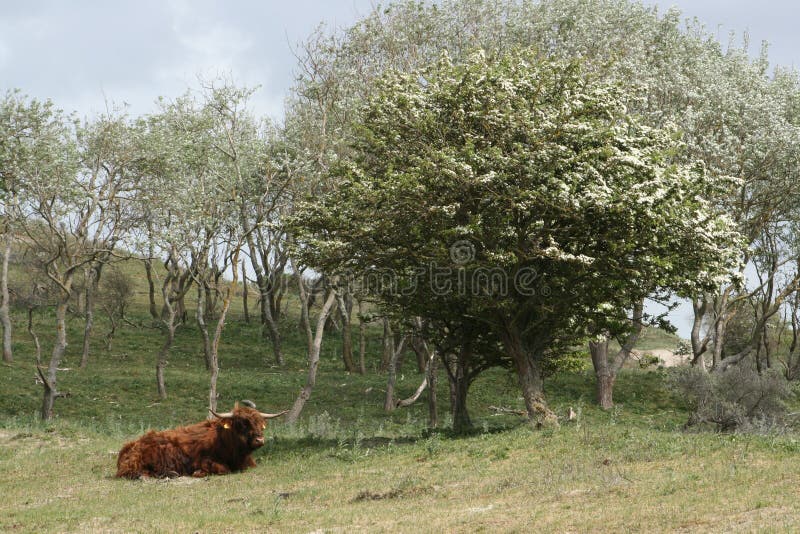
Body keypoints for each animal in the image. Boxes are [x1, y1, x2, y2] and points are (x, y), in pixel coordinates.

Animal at [115, 402, 284, 482]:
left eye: (260, 422)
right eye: (242, 423)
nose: (259, 439)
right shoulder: (203, 461)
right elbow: (223, 469)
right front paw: (199, 473)